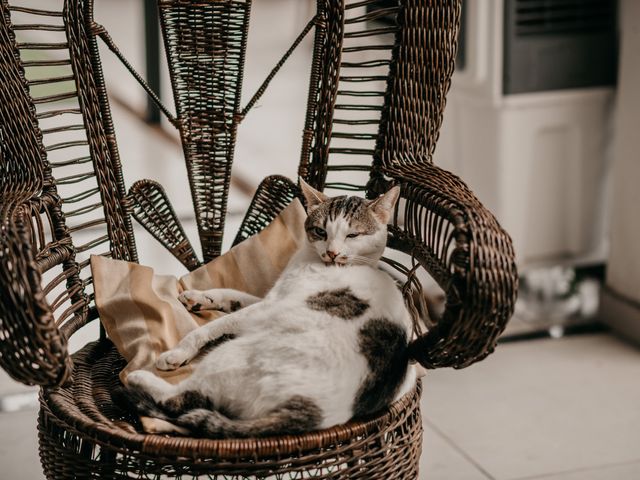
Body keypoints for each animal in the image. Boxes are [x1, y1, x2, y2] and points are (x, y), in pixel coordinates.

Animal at [125, 180, 418, 438]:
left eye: (353, 235)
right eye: (321, 232)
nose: (332, 253)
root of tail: (311, 414)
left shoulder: (269, 306)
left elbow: (213, 326)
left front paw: (178, 351)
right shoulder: (268, 297)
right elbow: (234, 296)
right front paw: (199, 297)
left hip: (229, 356)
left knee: (183, 398)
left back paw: (139, 377)